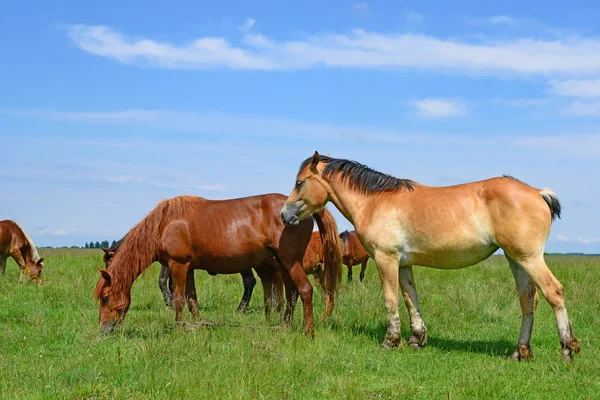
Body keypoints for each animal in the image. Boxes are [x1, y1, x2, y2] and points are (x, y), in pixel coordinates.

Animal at [92, 193, 338, 334]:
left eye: (106, 297)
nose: (104, 330)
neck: (164, 223)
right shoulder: (189, 268)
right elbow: (192, 299)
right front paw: (197, 324)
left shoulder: (177, 265)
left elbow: (179, 299)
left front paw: (180, 328)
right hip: (283, 263)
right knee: (290, 294)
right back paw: (285, 326)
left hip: (290, 261)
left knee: (305, 290)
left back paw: (307, 331)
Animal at [282, 152, 580, 360]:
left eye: (299, 182)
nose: (285, 215)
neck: (375, 201)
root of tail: (539, 193)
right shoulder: (403, 264)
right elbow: (410, 298)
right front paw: (416, 339)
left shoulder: (386, 259)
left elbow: (391, 299)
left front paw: (390, 341)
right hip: (515, 259)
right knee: (528, 300)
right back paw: (520, 352)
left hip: (530, 258)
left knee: (554, 293)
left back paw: (567, 350)